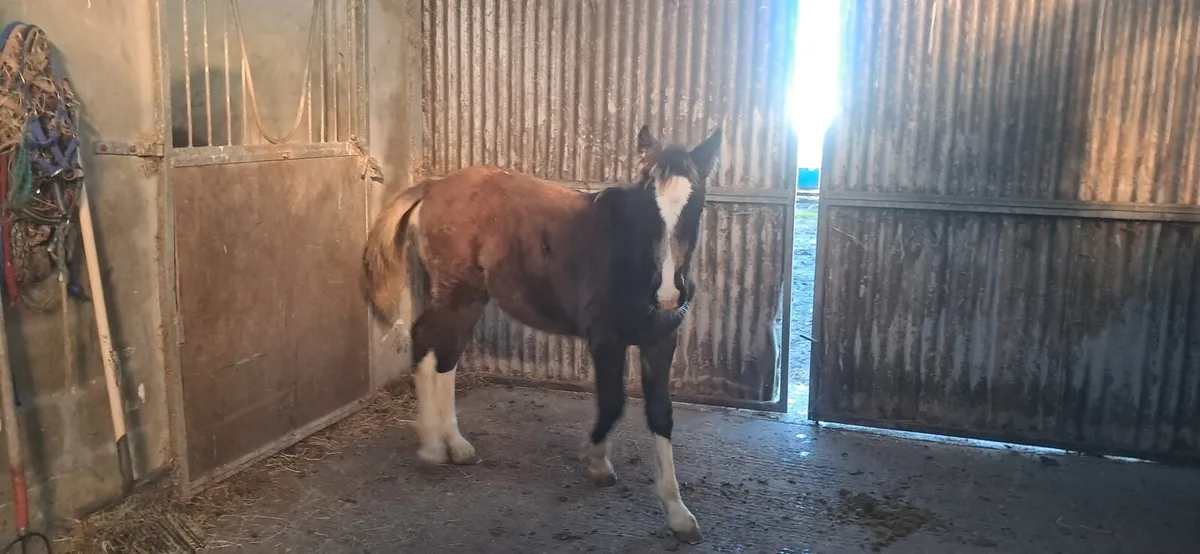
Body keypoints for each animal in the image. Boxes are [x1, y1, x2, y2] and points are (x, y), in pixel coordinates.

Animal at [362, 125, 721, 544]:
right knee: (424, 340)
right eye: (648, 206)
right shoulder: (606, 341)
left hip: (470, 297)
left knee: (446, 357)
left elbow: (661, 415)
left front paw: (678, 514)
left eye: (696, 205)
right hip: (456, 291)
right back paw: (433, 450)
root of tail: (433, 187)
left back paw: (457, 446)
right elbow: (612, 402)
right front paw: (597, 462)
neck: (630, 260)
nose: (667, 295)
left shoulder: (660, 342)